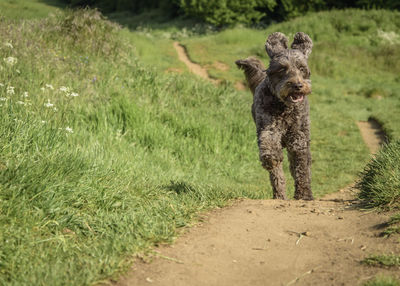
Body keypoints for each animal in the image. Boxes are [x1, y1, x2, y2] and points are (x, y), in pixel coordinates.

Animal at [236, 31, 314, 200]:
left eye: (301, 68)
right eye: (282, 69)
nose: (298, 85)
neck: (284, 106)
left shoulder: (298, 136)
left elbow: (301, 169)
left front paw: (304, 194)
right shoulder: (268, 126)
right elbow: (270, 147)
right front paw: (271, 158)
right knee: (277, 176)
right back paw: (279, 195)